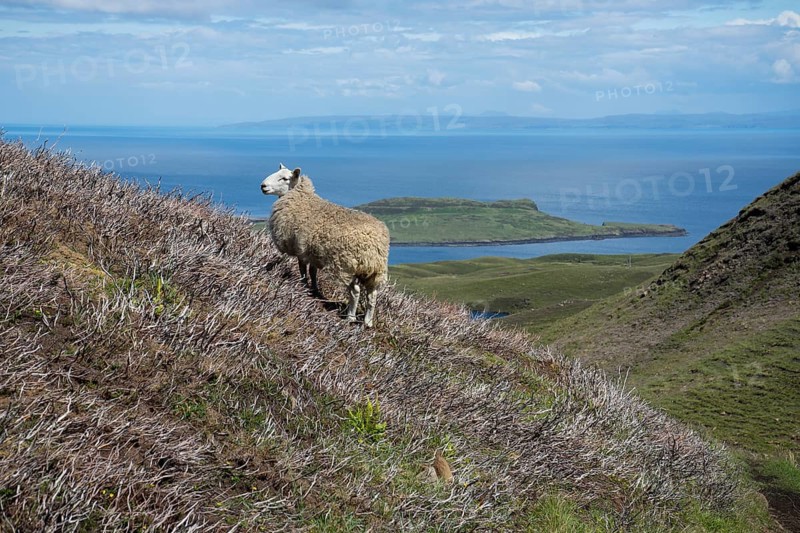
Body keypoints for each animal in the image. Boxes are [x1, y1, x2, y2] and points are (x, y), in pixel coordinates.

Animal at [260, 163, 390, 327]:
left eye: (284, 178)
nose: (263, 186)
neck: (301, 198)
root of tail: (374, 243)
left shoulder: (301, 251)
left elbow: (303, 270)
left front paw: (302, 286)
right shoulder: (312, 253)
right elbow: (313, 272)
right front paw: (314, 289)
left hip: (345, 266)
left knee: (355, 292)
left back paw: (350, 317)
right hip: (374, 272)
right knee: (372, 296)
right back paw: (367, 322)